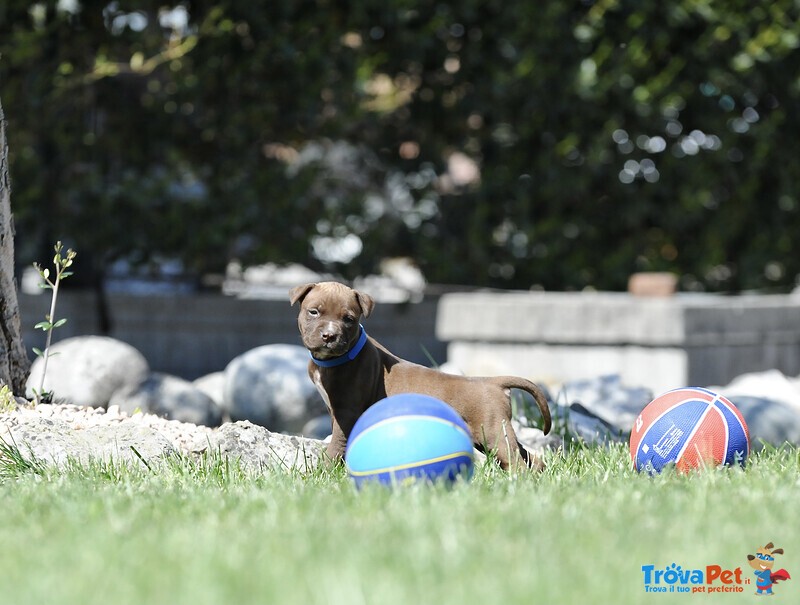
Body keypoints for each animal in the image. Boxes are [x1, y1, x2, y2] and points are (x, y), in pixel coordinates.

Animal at [290, 280, 552, 470]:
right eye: (314, 312)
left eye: (348, 319)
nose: (329, 336)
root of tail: (494, 382)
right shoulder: (335, 411)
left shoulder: (346, 413)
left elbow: (337, 445)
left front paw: (323, 472)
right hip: (494, 433)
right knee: (528, 457)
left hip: (492, 431)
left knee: (516, 461)